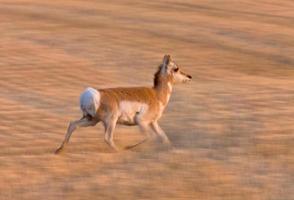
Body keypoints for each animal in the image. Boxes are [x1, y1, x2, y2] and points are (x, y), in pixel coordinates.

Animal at [55, 54, 192, 153]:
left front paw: (172, 149)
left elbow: (164, 137)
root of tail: (92, 94)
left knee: (73, 124)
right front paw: (130, 147)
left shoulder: (153, 123)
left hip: (91, 120)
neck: (156, 94)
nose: (189, 76)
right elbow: (150, 137)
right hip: (110, 121)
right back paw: (120, 150)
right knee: (108, 138)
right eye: (176, 69)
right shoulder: (142, 121)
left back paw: (60, 150)